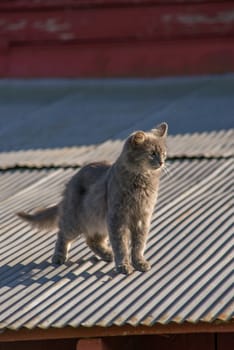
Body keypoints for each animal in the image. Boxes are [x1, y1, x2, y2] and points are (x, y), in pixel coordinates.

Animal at [17, 122, 168, 274]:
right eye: (152, 153)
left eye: (164, 154)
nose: (161, 162)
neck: (141, 181)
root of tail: (71, 182)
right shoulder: (117, 218)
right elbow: (121, 245)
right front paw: (123, 266)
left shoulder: (142, 218)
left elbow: (139, 245)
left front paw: (139, 263)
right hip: (75, 221)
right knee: (63, 235)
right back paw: (59, 257)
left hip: (98, 220)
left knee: (91, 240)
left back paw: (107, 254)